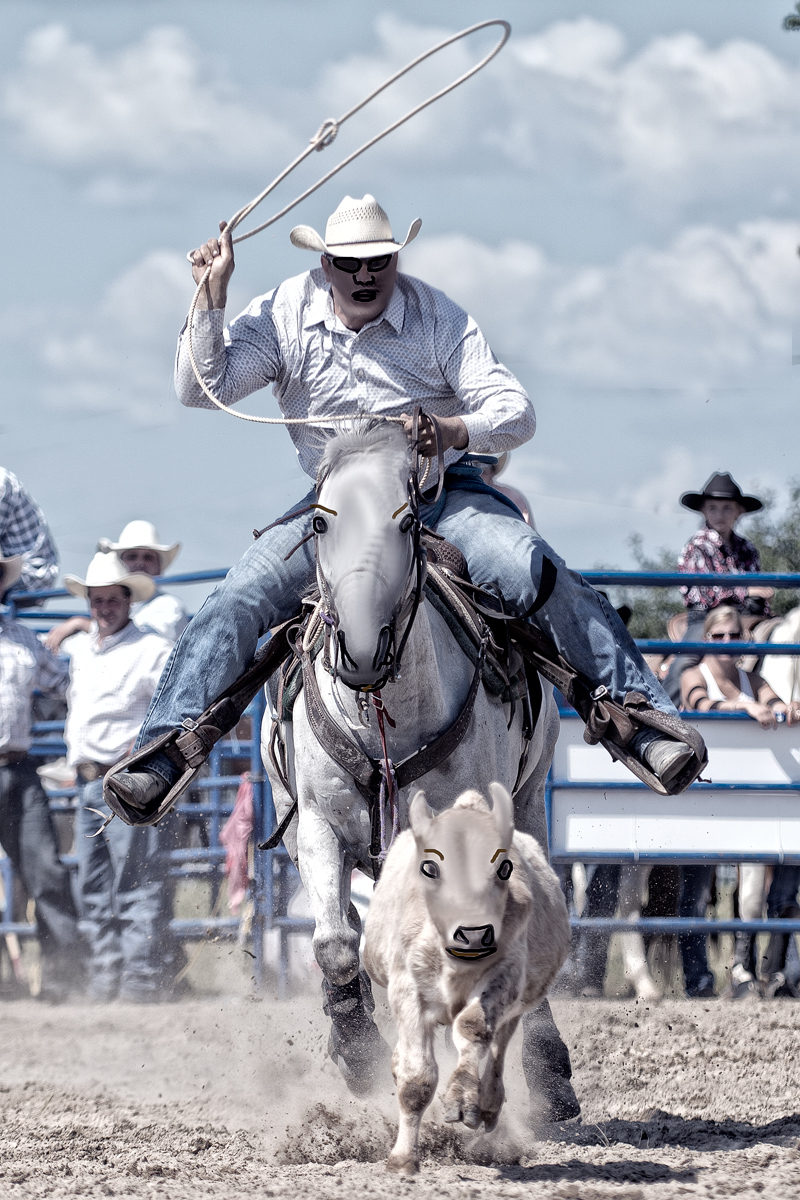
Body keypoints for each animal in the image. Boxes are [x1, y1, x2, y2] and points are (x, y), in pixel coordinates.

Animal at [266, 420, 578, 1113]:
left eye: (406, 521)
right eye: (321, 523)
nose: (360, 651)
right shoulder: (320, 825)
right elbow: (334, 943)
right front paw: (358, 1052)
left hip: (531, 798)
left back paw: (550, 1073)